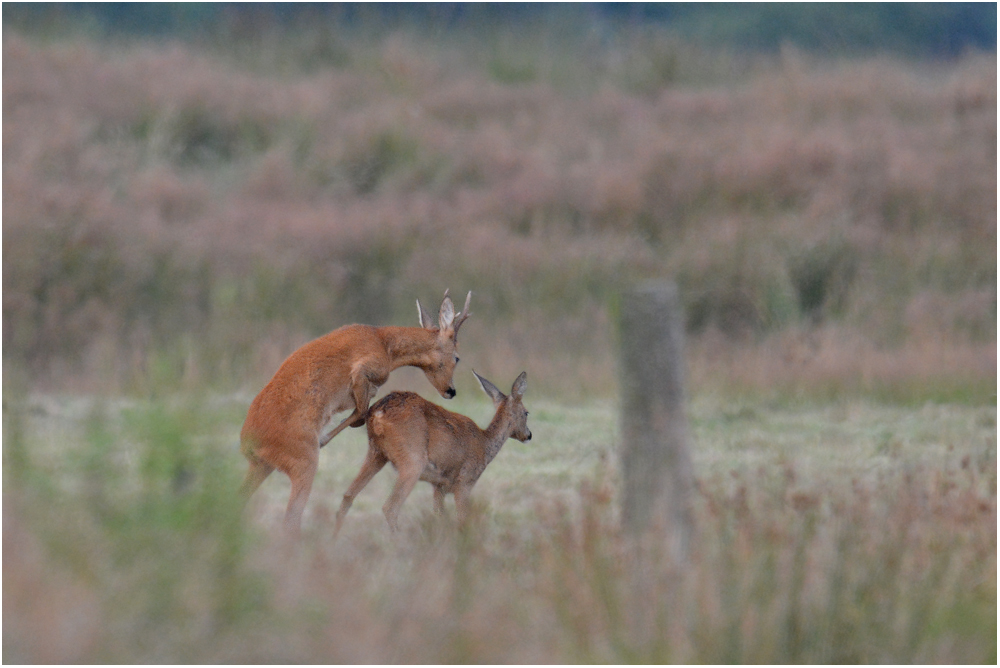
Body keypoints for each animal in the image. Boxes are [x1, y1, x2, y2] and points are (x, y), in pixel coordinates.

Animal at [243, 290, 476, 536]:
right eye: (457, 356)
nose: (451, 391)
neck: (384, 343)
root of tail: (248, 442)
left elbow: (360, 414)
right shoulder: (363, 371)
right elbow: (361, 413)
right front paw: (324, 438)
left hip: (262, 466)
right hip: (303, 464)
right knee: (291, 519)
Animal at [334, 368, 532, 536]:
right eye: (526, 412)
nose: (528, 435)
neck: (485, 444)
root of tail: (376, 414)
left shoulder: (439, 486)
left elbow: (439, 516)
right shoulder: (465, 481)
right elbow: (462, 518)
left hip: (376, 452)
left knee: (348, 496)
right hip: (413, 459)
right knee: (389, 507)